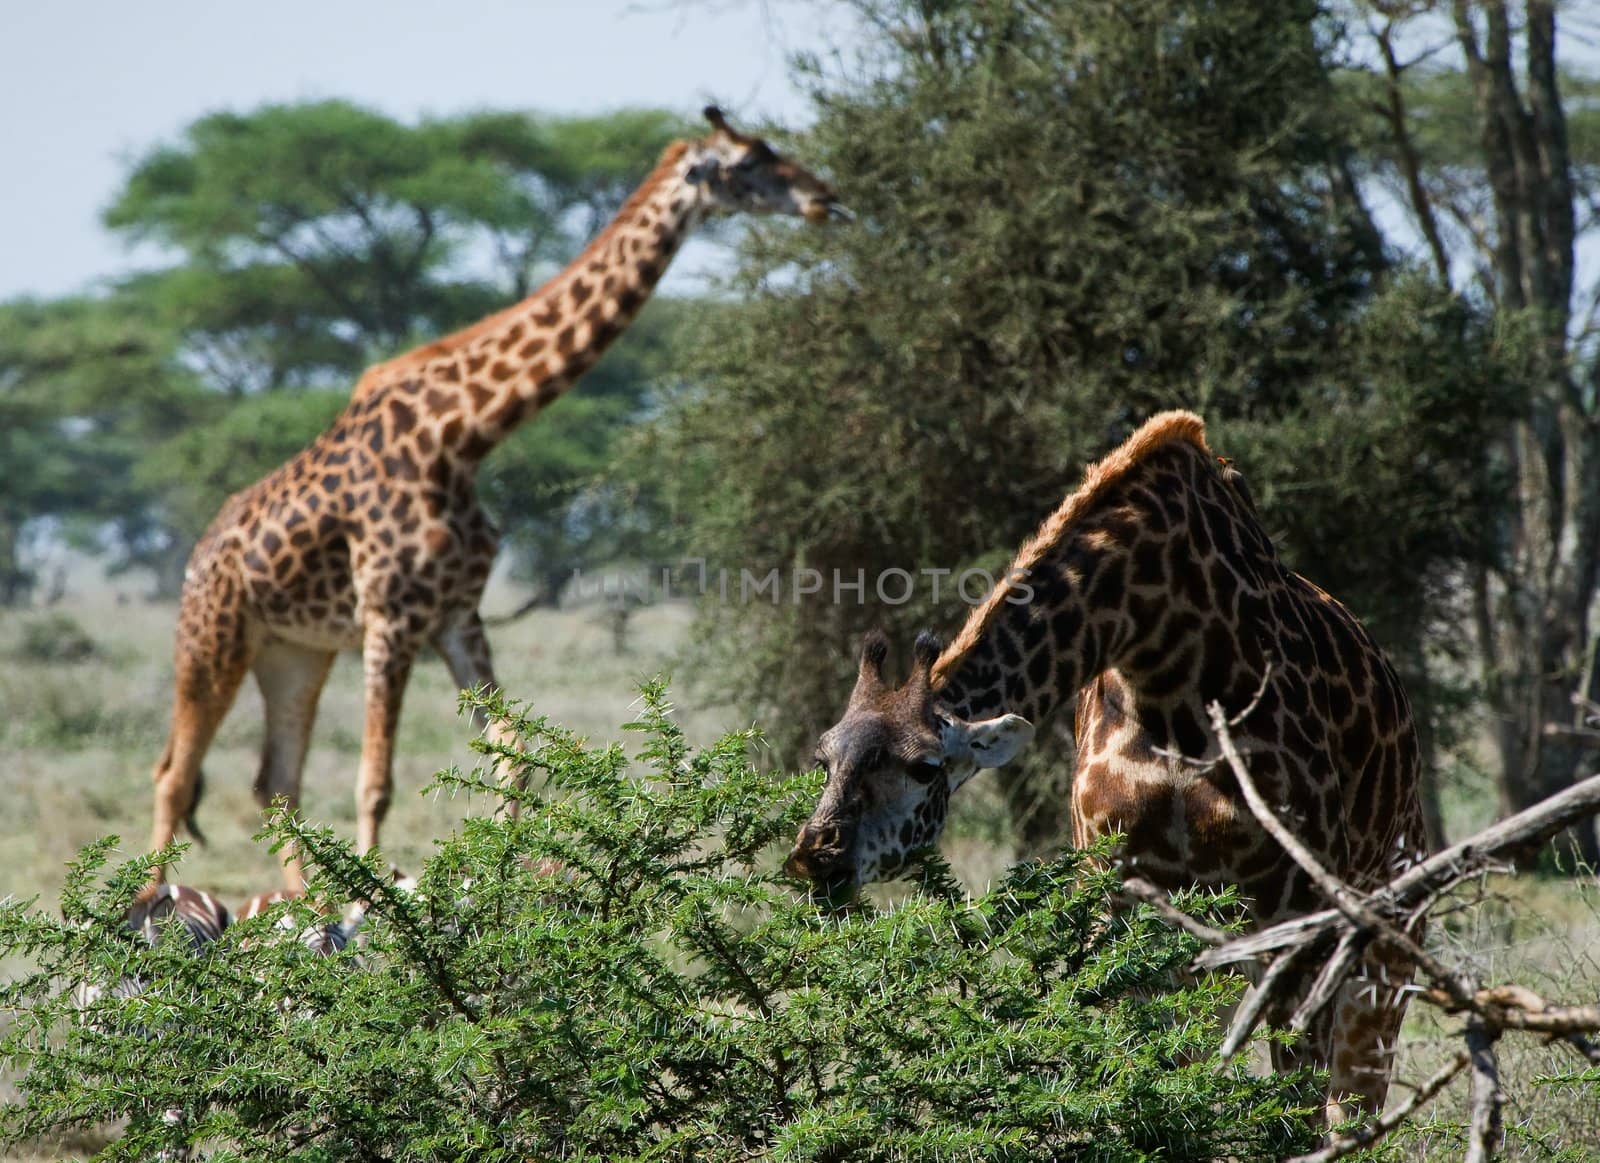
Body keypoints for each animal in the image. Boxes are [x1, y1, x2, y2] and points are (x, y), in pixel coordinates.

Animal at [151, 107, 844, 889]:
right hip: (213, 637)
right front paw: (373, 904)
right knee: (175, 774)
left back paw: (308, 906)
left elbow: (514, 753)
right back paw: (150, 908)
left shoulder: (457, 615)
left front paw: (508, 882)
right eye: (750, 161)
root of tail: (200, 552)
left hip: (294, 651)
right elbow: (374, 782)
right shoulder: (391, 617)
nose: (825, 197)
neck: (463, 436)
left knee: (275, 780)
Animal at [787, 412, 1427, 1126]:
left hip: (1384, 941)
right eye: (823, 755)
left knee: (1355, 1095)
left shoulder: (1301, 917)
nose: (815, 858)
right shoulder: (1114, 896)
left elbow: (1295, 1111)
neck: (1167, 656)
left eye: (926, 767)